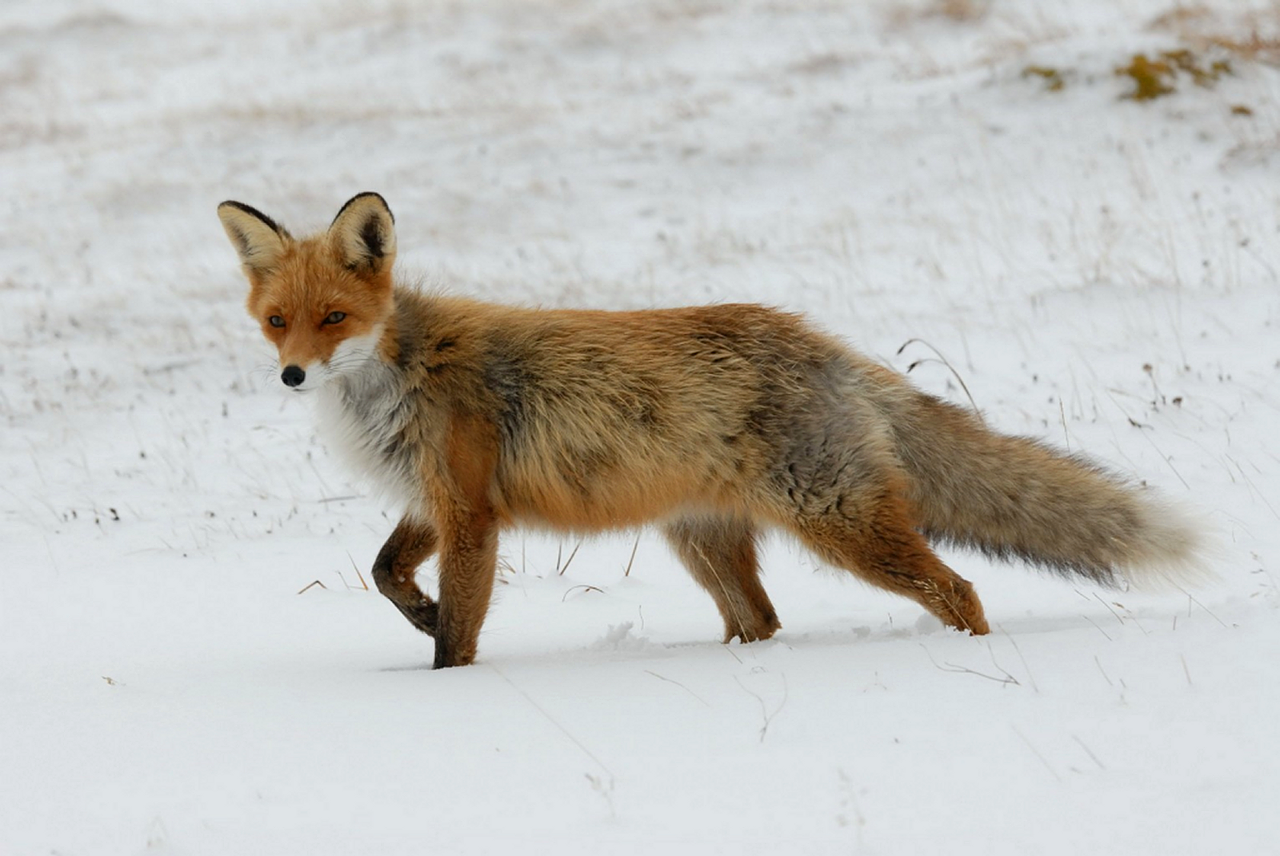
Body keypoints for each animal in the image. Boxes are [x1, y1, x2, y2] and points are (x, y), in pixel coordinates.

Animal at [215, 191, 1203, 665]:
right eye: (278, 321)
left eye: (335, 318)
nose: (293, 374)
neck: (401, 372)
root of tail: (825, 344)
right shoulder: (439, 499)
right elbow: (386, 572)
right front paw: (416, 614)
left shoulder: (470, 512)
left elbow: (457, 636)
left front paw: (442, 676)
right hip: (701, 543)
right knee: (759, 621)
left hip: (839, 524)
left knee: (959, 591)